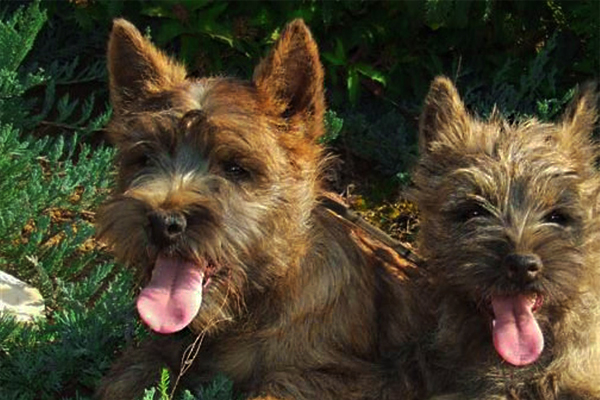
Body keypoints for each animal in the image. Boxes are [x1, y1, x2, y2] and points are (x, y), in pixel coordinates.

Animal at [95, 18, 412, 396]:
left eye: (235, 168)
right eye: (144, 158)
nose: (161, 222)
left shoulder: (348, 376)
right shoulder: (154, 352)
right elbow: (126, 374)